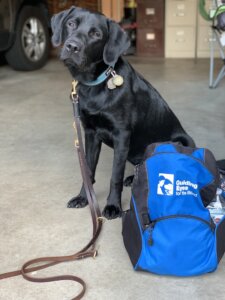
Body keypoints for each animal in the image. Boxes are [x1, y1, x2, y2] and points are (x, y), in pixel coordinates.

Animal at [51, 5, 195, 219]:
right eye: (71, 24)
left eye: (96, 34)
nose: (72, 46)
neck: (96, 83)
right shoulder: (91, 133)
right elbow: (88, 170)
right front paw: (84, 198)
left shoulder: (121, 135)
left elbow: (115, 176)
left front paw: (113, 206)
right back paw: (132, 178)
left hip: (180, 142)